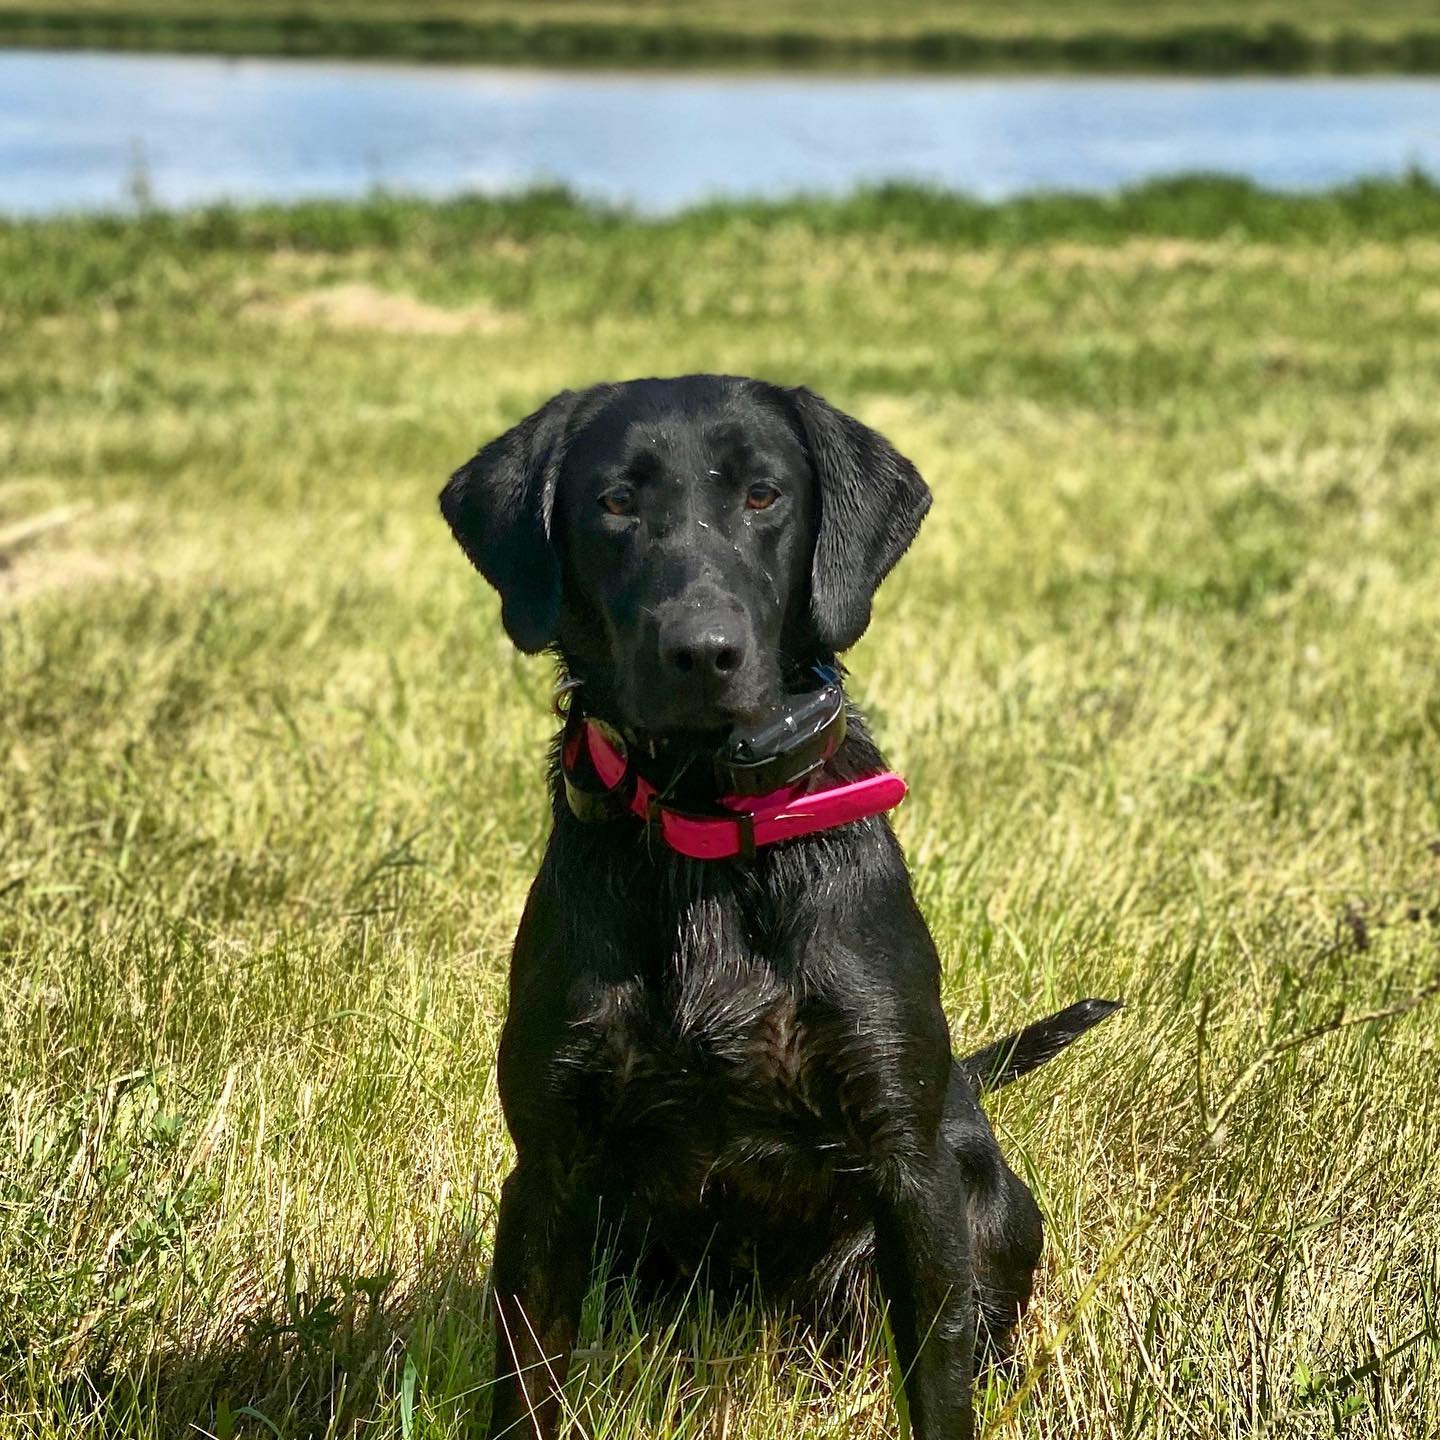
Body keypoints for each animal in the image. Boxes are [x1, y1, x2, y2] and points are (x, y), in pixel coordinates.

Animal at [437, 377, 1111, 1434]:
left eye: (763, 496)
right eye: (614, 502)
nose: (701, 653)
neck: (710, 830)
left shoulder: (909, 1169)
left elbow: (940, 1381)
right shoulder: (549, 1168)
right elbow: (527, 1384)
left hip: (988, 1208)